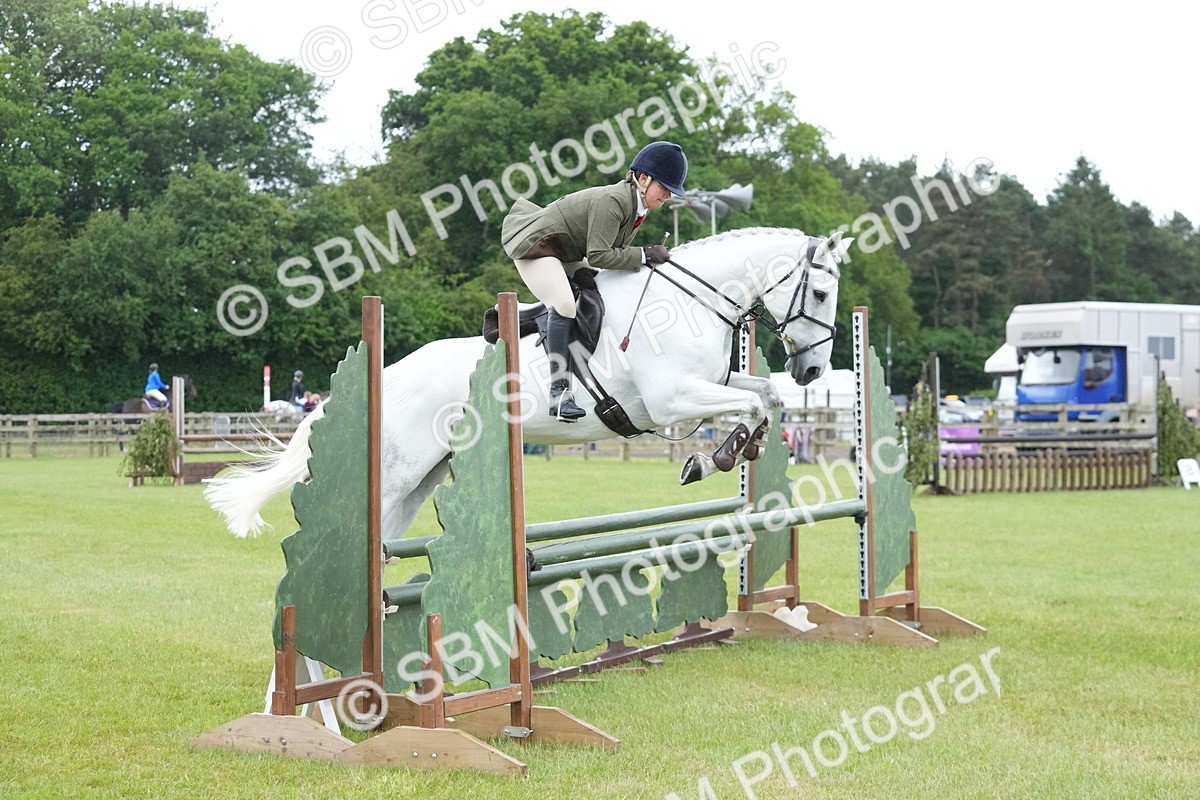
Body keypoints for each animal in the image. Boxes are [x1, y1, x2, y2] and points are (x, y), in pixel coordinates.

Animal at [204, 227, 850, 540]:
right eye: (820, 293)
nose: (813, 372)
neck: (691, 302)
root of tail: (384, 378)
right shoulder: (671, 399)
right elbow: (748, 403)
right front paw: (711, 458)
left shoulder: (707, 383)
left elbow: (763, 397)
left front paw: (736, 450)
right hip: (399, 473)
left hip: (423, 478)